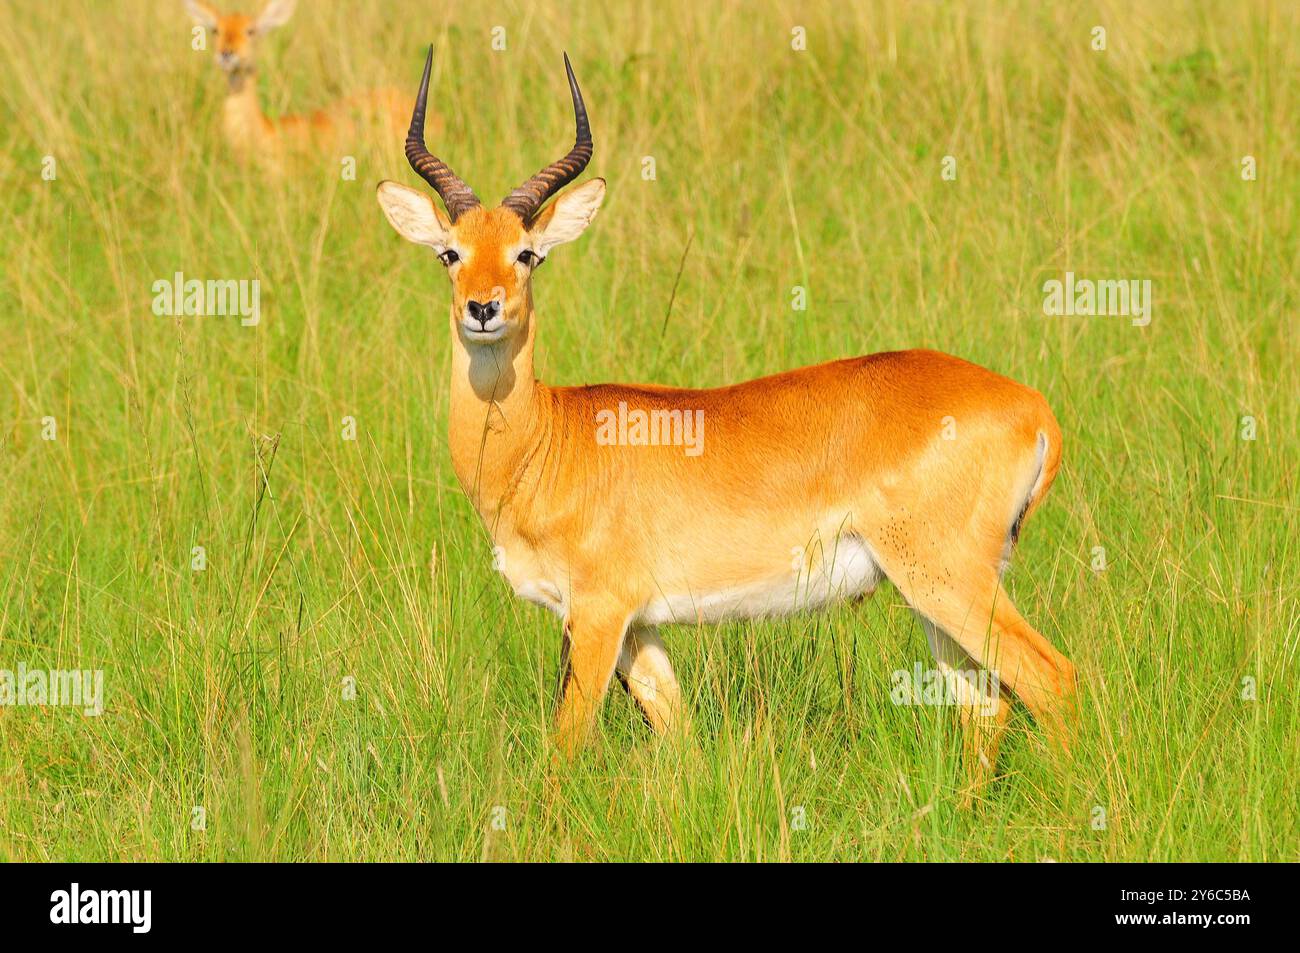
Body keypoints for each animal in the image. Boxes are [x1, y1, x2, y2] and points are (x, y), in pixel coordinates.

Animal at [377, 48, 1076, 790]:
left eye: (526, 253)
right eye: (450, 252)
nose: (483, 308)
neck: (546, 440)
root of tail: (1031, 406)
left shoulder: (598, 612)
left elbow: (565, 745)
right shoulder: (640, 627)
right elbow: (680, 737)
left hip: (948, 579)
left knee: (1051, 680)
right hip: (931, 594)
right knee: (987, 708)